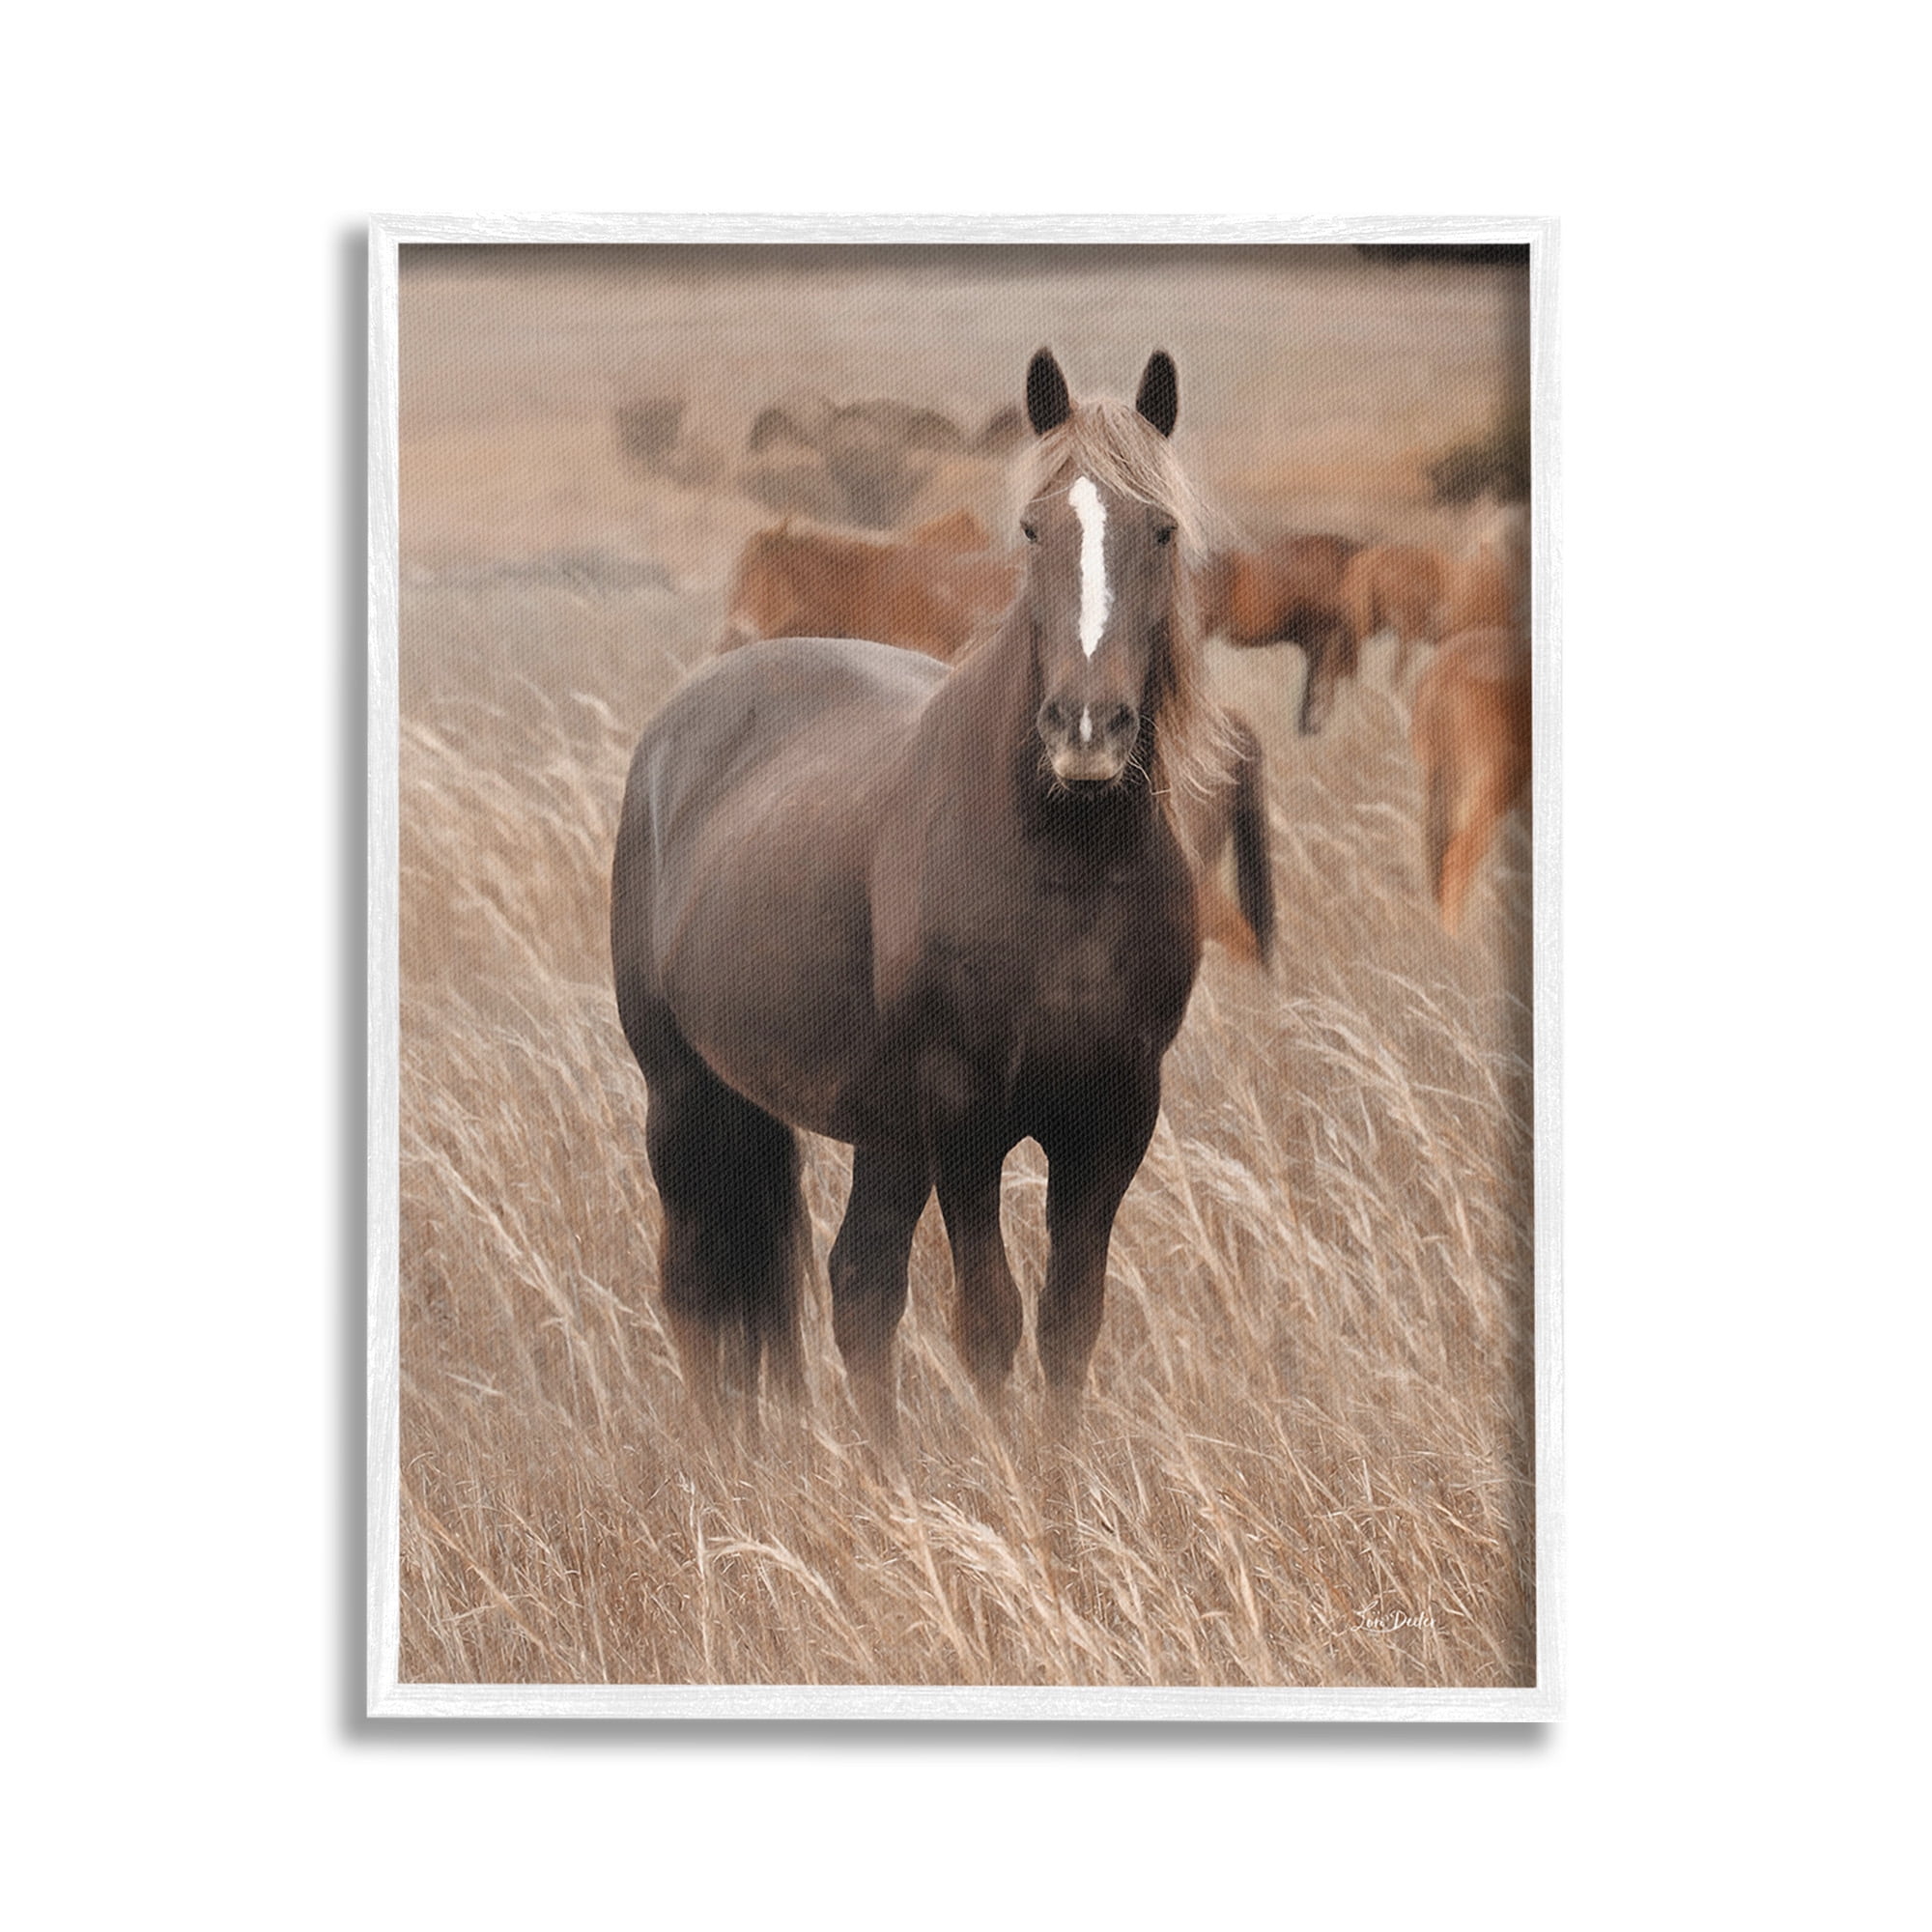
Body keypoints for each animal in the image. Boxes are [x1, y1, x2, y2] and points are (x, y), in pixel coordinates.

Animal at [612, 348, 1266, 1443]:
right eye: (1034, 529)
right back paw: (724, 1468)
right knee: (697, 1285)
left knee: (855, 1288)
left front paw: (1053, 1488)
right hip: (686, 1091)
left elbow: (1067, 1323)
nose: (1085, 730)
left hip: (877, 1131)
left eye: (1161, 529)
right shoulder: (965, 1121)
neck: (1060, 867)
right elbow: (988, 1323)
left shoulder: (1112, 1117)